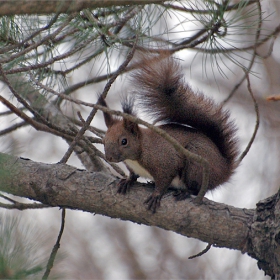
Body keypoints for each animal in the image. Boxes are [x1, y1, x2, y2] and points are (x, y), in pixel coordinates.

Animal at [100, 55, 238, 213]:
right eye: (104, 141)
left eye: (124, 141)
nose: (109, 157)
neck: (139, 152)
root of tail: (224, 168)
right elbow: (133, 175)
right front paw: (128, 181)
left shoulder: (164, 162)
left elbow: (164, 179)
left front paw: (156, 195)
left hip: (196, 163)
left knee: (196, 188)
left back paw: (185, 192)